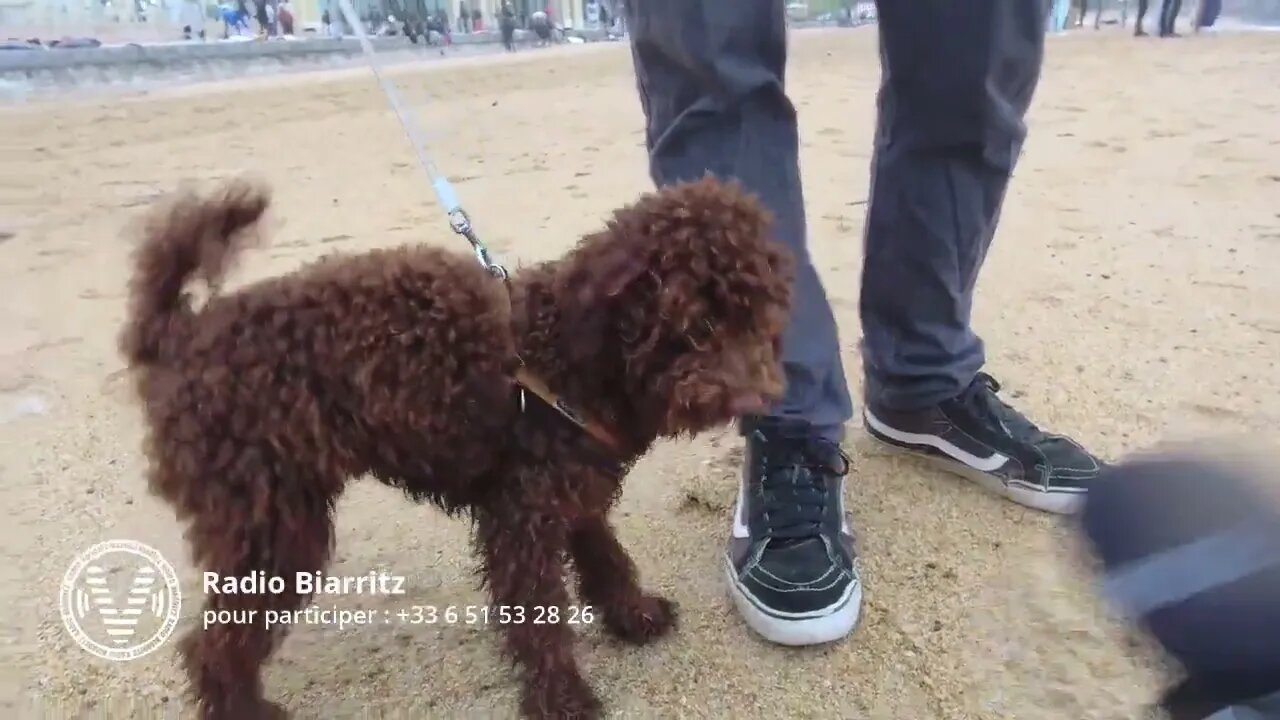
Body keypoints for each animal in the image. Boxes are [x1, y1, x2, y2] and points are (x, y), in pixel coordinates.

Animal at [124, 175, 793, 717]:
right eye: (698, 324)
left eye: (763, 315)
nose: (762, 396)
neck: (574, 354)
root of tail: (179, 335)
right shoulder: (521, 518)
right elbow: (538, 618)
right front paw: (562, 698)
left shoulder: (573, 493)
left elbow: (606, 557)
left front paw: (632, 615)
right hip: (273, 524)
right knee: (212, 646)